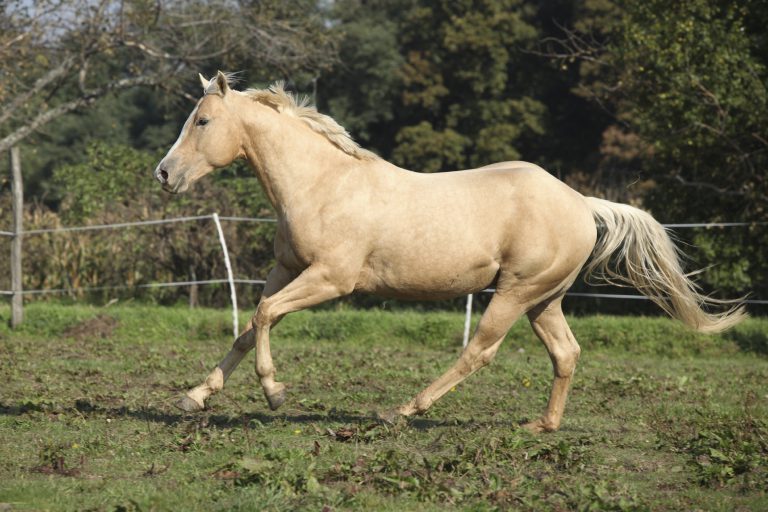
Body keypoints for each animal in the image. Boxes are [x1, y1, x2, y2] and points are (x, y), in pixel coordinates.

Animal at [154, 71, 745, 432]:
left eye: (202, 121)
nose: (163, 174)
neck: (323, 184)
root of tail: (581, 202)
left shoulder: (331, 279)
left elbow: (263, 315)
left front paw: (274, 392)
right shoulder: (287, 269)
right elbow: (249, 325)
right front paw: (194, 396)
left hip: (515, 293)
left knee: (478, 351)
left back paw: (401, 411)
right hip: (543, 300)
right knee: (566, 353)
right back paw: (542, 426)